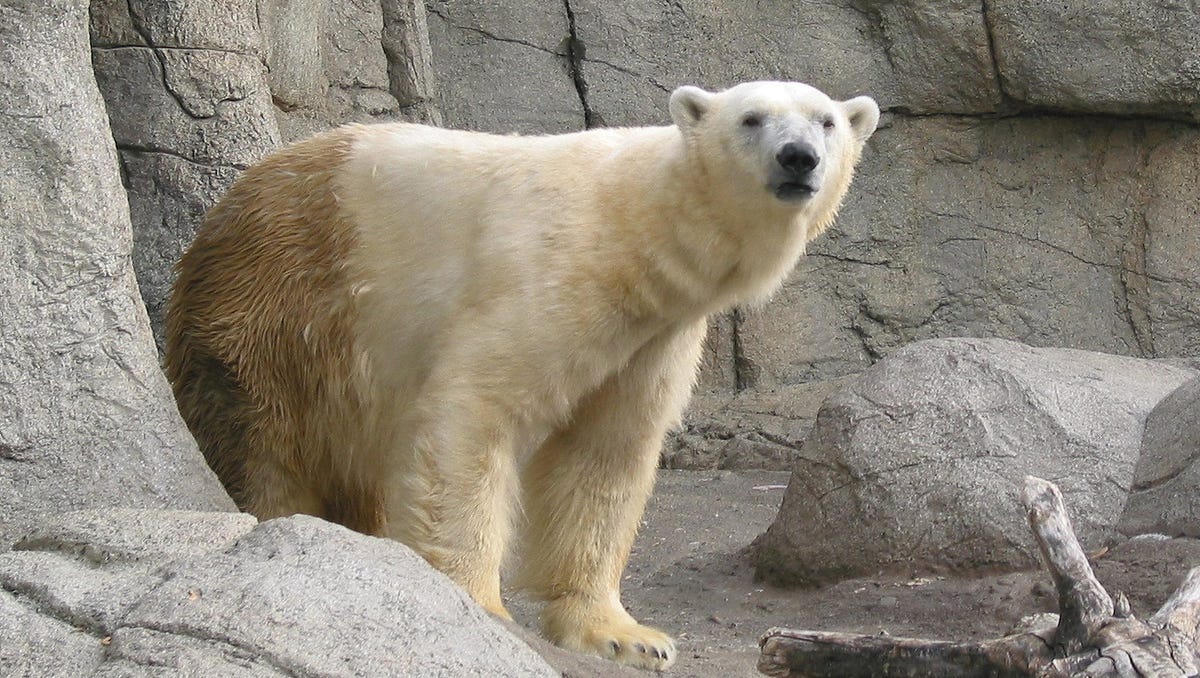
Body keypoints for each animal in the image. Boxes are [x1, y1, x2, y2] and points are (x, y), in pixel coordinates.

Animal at [165, 80, 878, 670]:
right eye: (752, 118)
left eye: (825, 122)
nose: (798, 158)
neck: (633, 227)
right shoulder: (551, 272)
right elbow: (476, 408)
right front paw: (478, 606)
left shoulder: (653, 335)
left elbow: (605, 452)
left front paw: (627, 636)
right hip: (283, 303)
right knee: (261, 437)